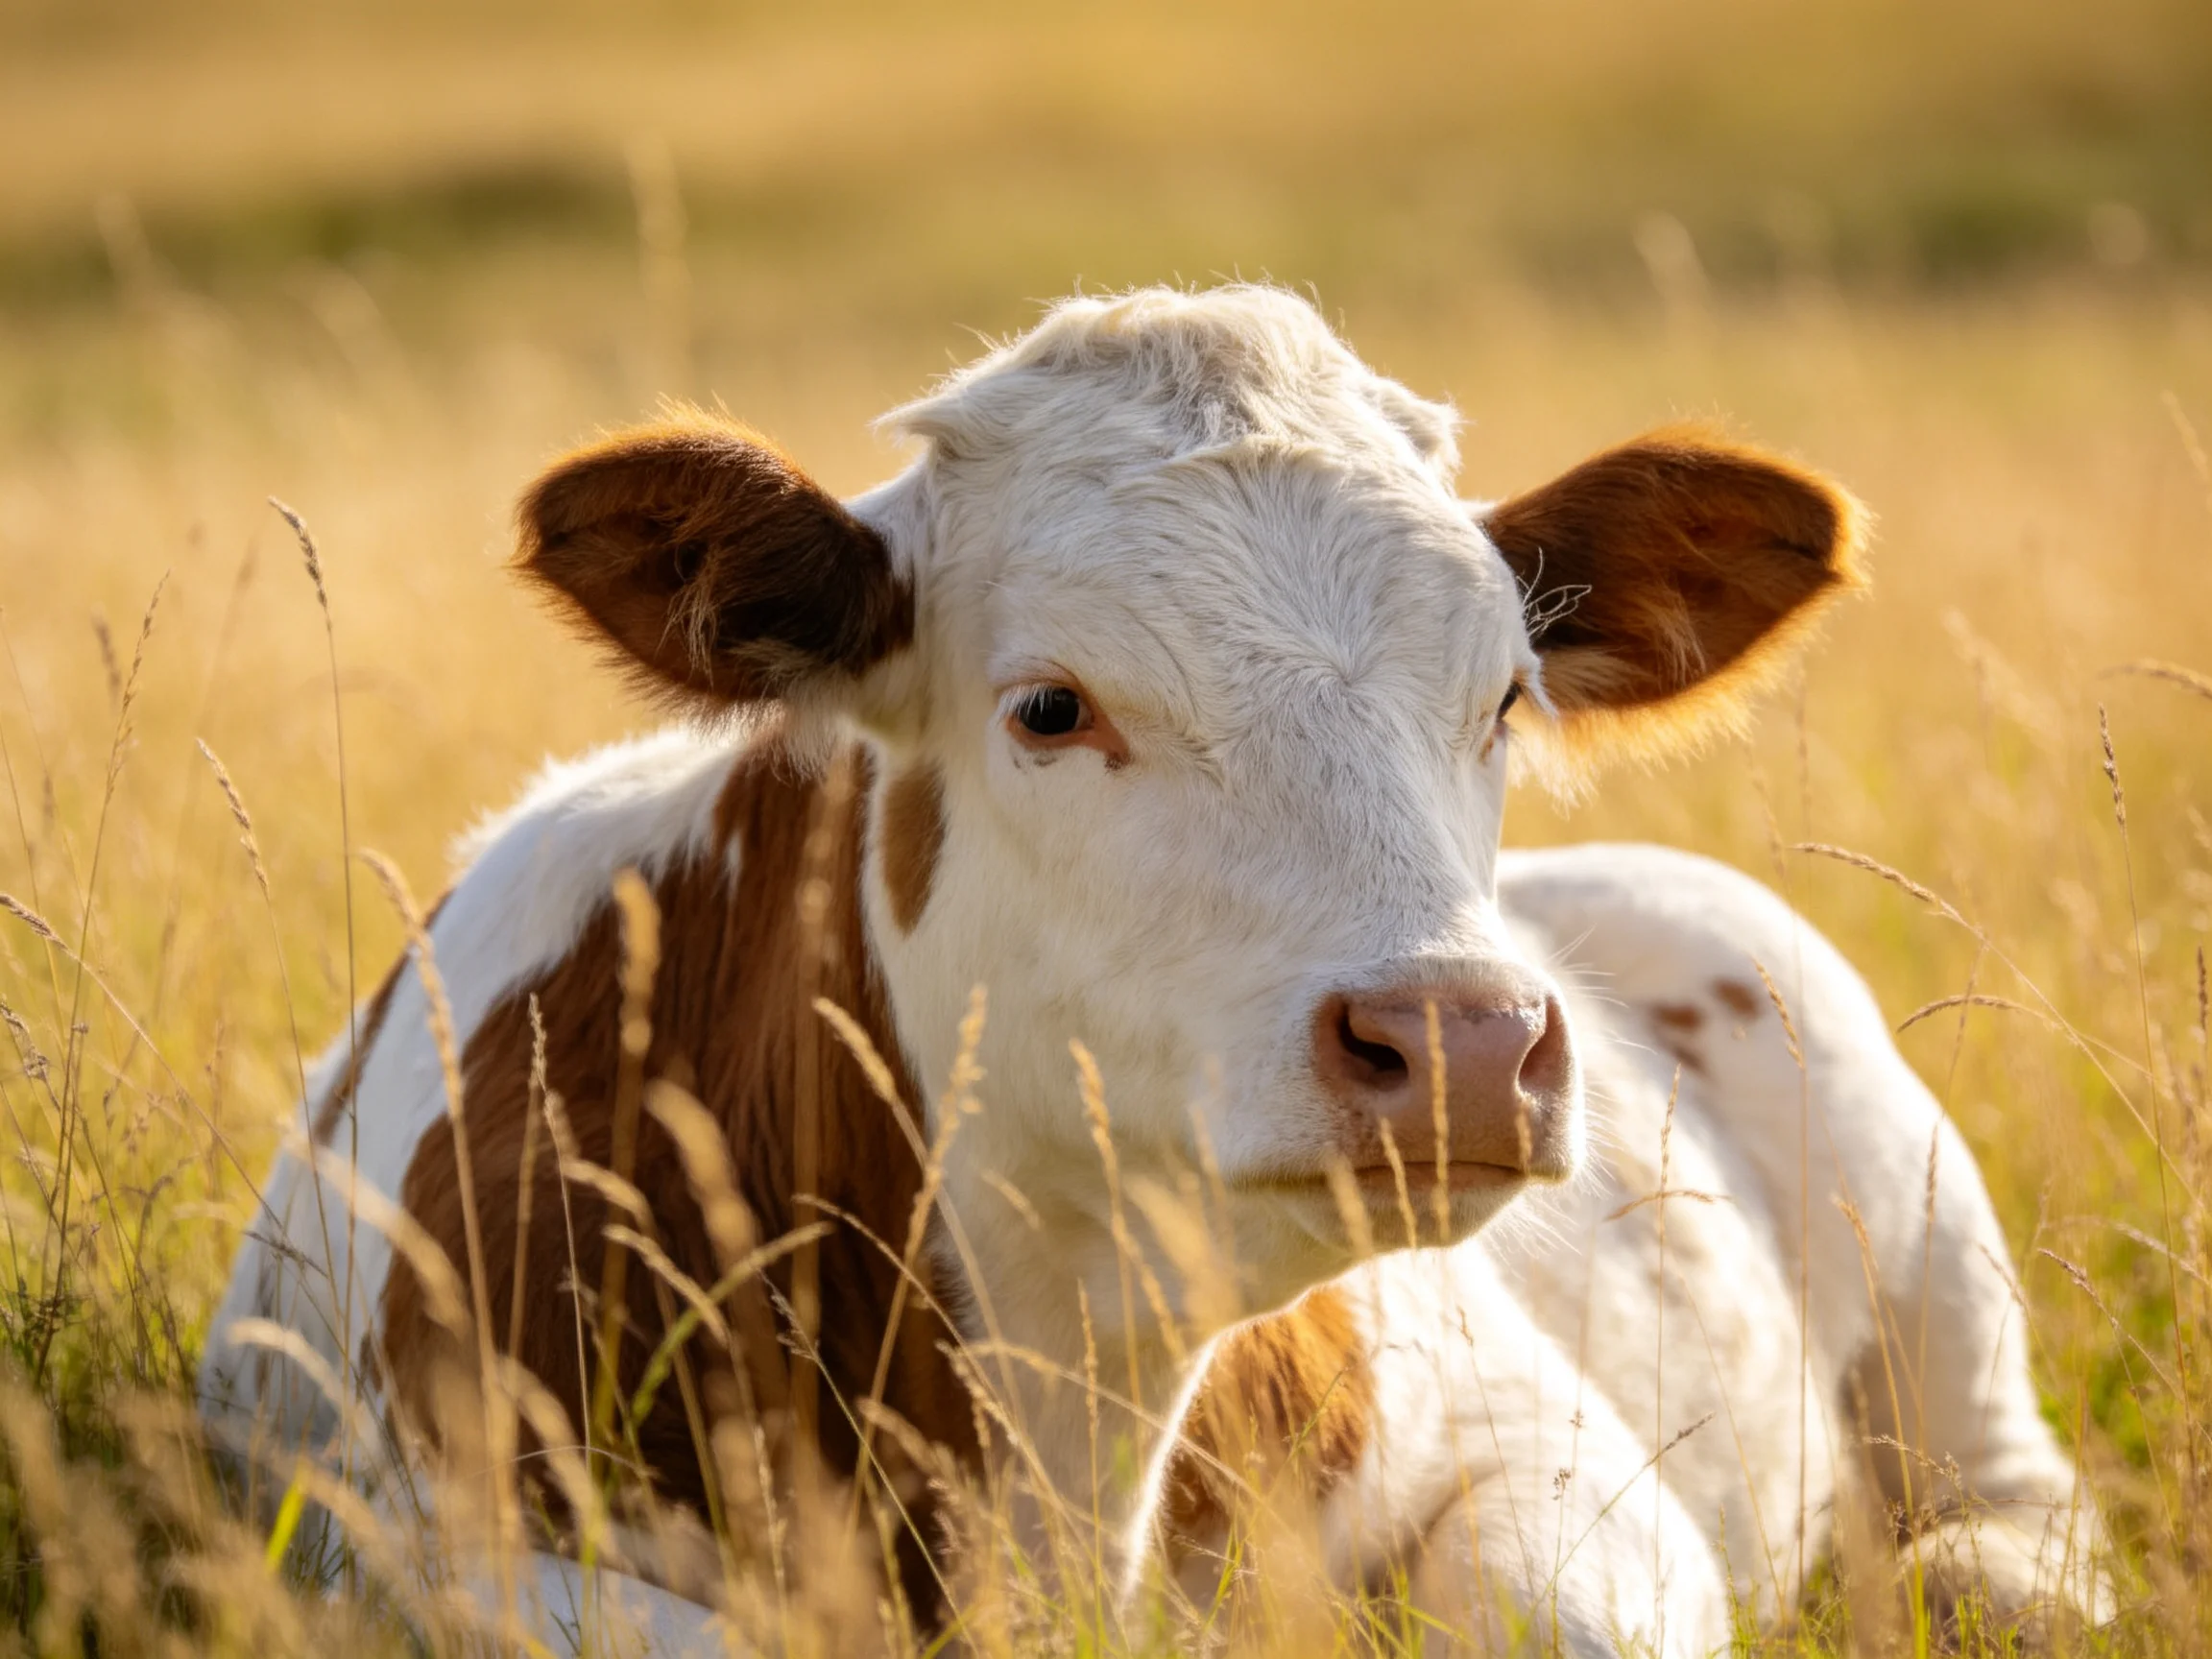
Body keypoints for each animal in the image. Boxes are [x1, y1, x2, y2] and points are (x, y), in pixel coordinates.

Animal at [201, 285, 2109, 1654]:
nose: (1462, 1039)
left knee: (2002, 1524)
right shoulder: (421, 1538)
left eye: (1503, 694)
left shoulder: (1552, 1459)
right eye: (1051, 704)